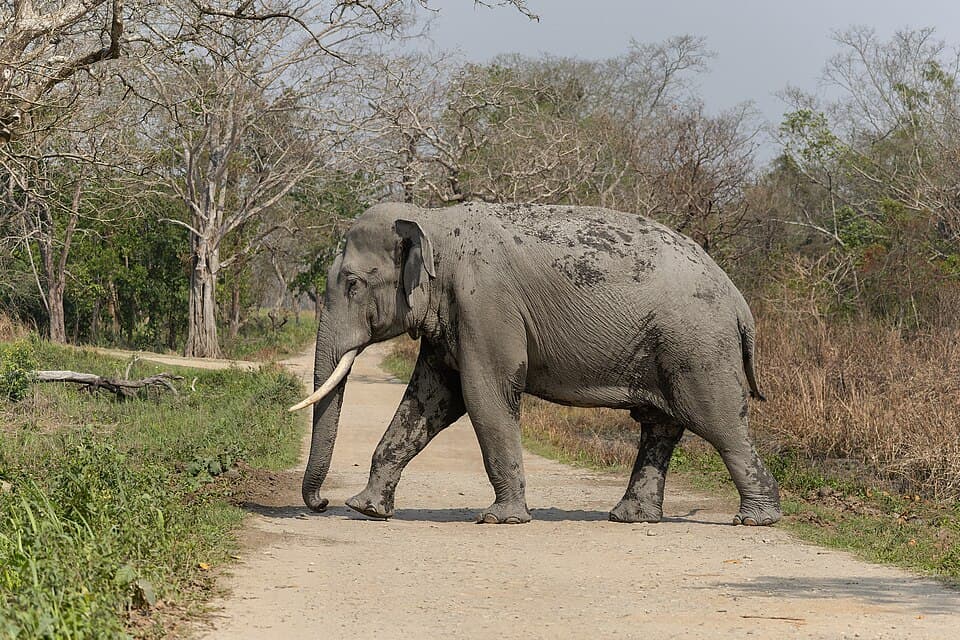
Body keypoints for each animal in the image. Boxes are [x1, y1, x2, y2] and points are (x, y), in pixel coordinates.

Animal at [289, 201, 781, 526]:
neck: (435, 221)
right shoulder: (453, 317)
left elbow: (484, 396)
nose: (322, 505)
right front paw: (367, 508)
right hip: (668, 345)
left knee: (719, 422)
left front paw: (500, 519)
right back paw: (631, 518)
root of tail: (739, 302)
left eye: (352, 284)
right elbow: (429, 401)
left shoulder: (485, 305)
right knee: (659, 425)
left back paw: (756, 520)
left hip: (699, 346)